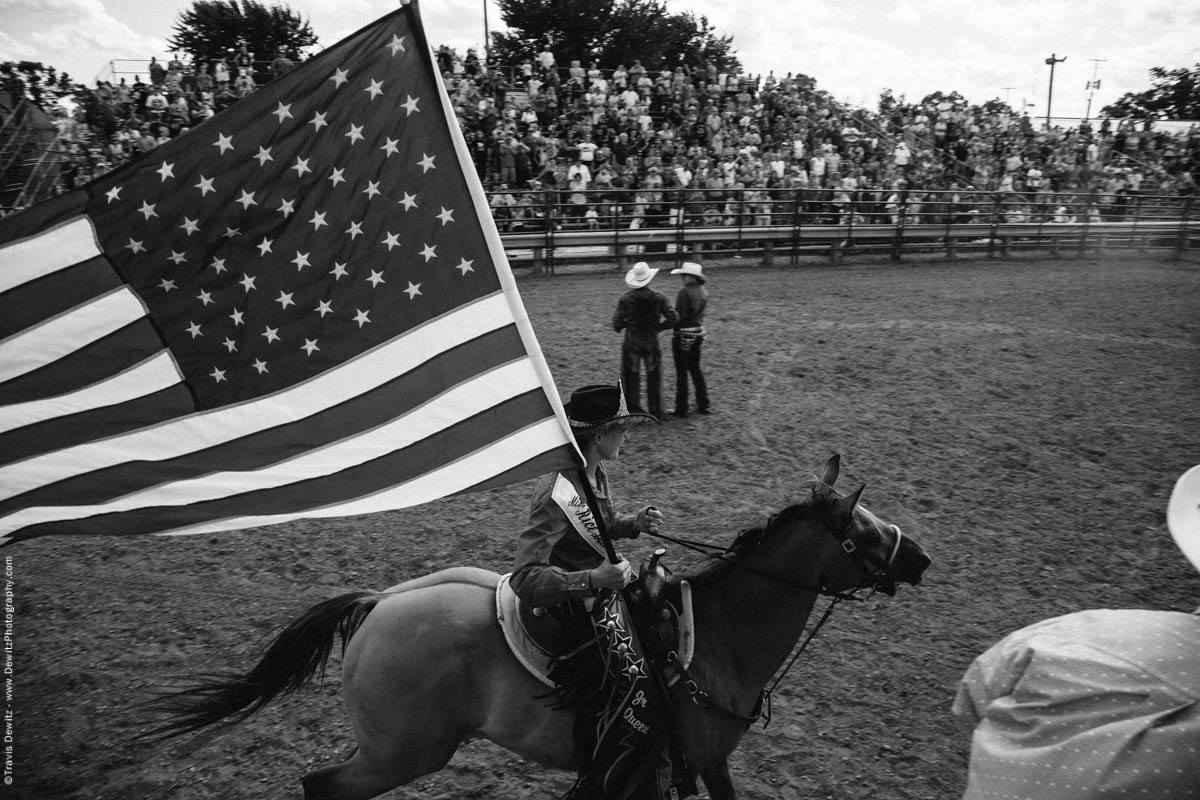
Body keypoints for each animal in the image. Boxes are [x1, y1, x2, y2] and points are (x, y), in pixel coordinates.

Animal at [154, 455, 931, 800]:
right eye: (861, 531)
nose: (920, 557)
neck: (708, 641)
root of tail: (379, 604)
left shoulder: (698, 764)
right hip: (400, 753)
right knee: (323, 787)